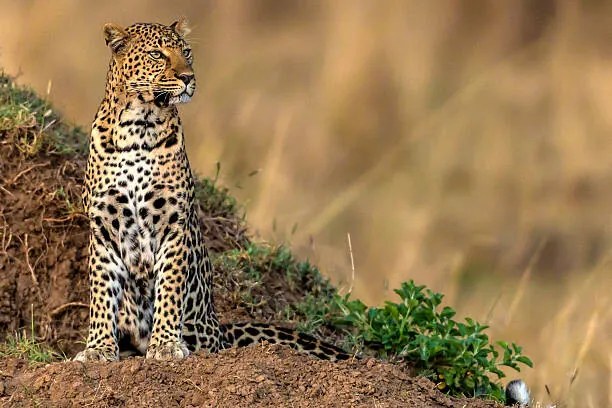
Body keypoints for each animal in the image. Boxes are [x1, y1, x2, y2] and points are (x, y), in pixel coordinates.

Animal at [73, 19, 350, 364]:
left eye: (187, 52)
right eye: (156, 54)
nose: (188, 77)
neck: (139, 126)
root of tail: (220, 328)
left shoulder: (174, 224)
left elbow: (170, 287)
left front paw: (165, 344)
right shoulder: (104, 228)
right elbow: (102, 291)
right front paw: (98, 348)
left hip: (206, 335)